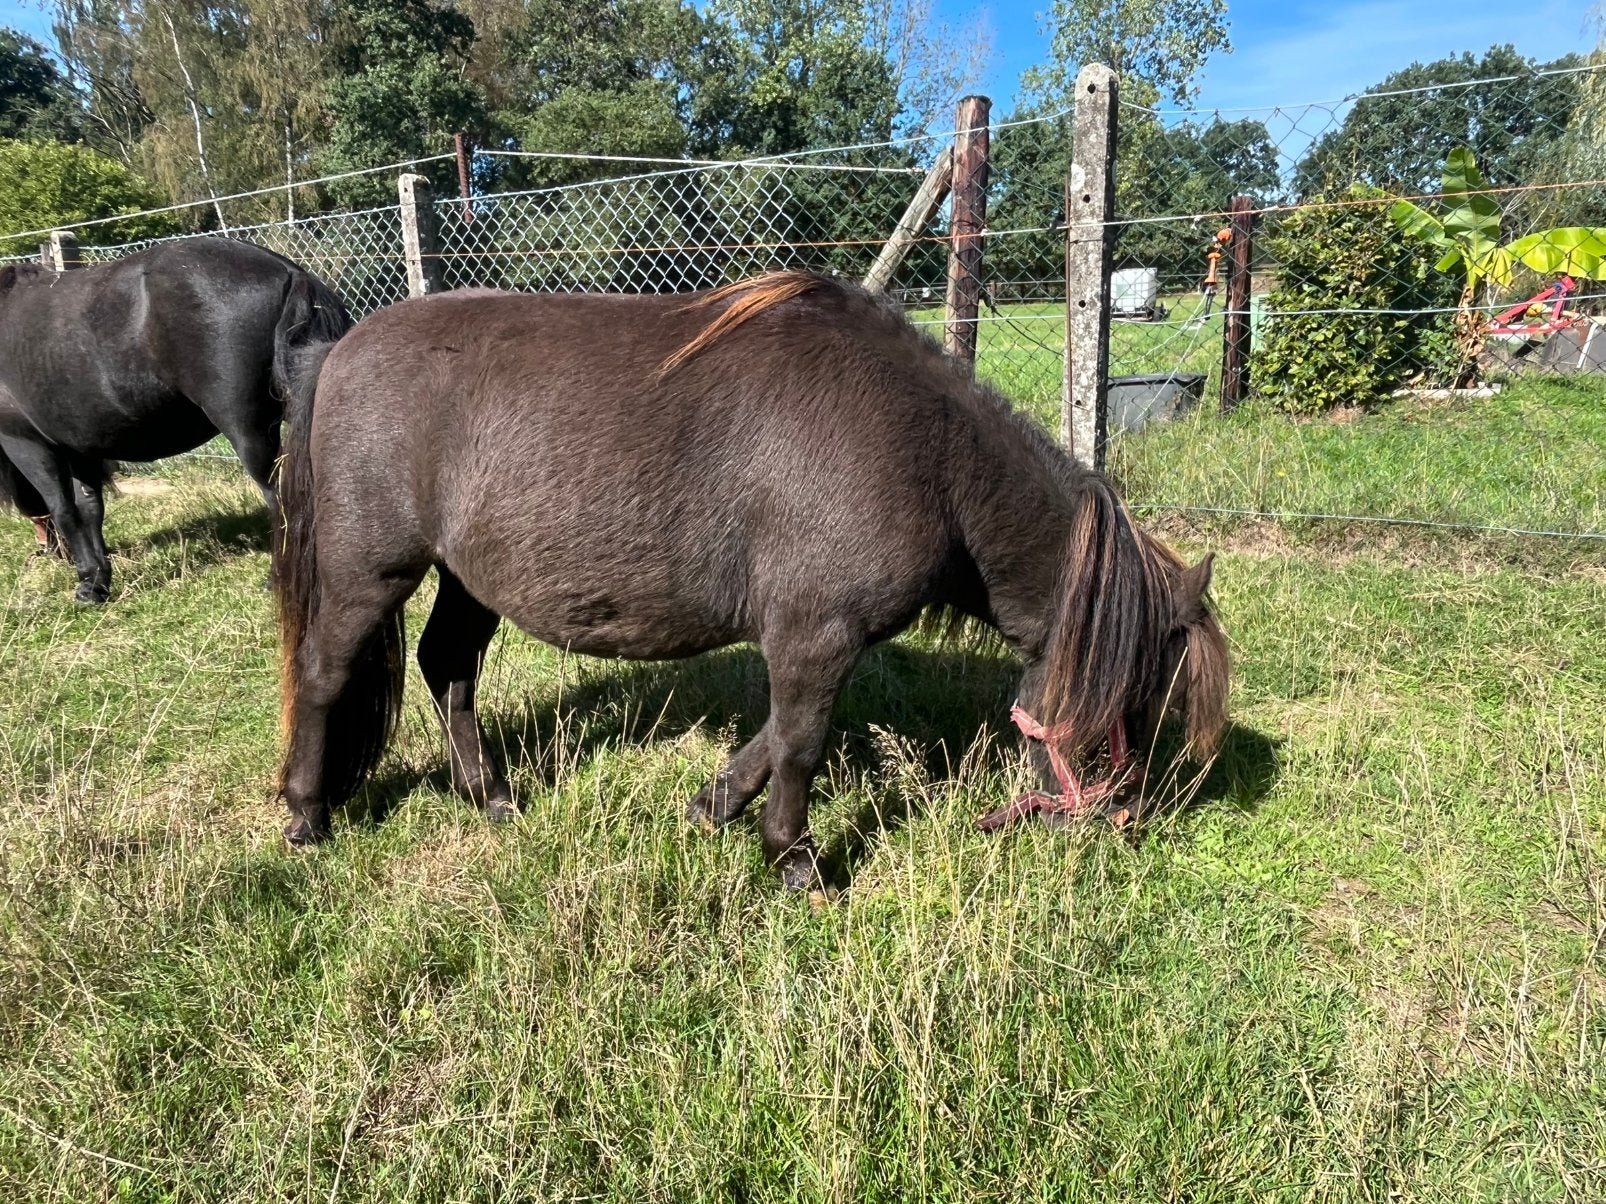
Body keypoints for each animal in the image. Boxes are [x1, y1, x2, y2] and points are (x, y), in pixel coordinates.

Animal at [0, 238, 352, 602]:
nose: (46, 552)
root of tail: (288, 270)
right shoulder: (80, 447)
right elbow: (89, 508)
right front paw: (98, 579)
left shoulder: (25, 442)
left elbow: (64, 509)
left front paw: (86, 584)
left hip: (249, 433)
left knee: (279, 498)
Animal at [273, 272, 1229, 891]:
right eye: (1139, 699)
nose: (1121, 819)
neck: (928, 454)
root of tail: (338, 349)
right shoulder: (816, 632)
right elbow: (800, 741)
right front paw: (793, 858)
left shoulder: (814, 636)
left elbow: (773, 737)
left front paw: (714, 807)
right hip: (370, 572)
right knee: (322, 673)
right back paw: (307, 814)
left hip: (468, 578)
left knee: (449, 668)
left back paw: (491, 798)